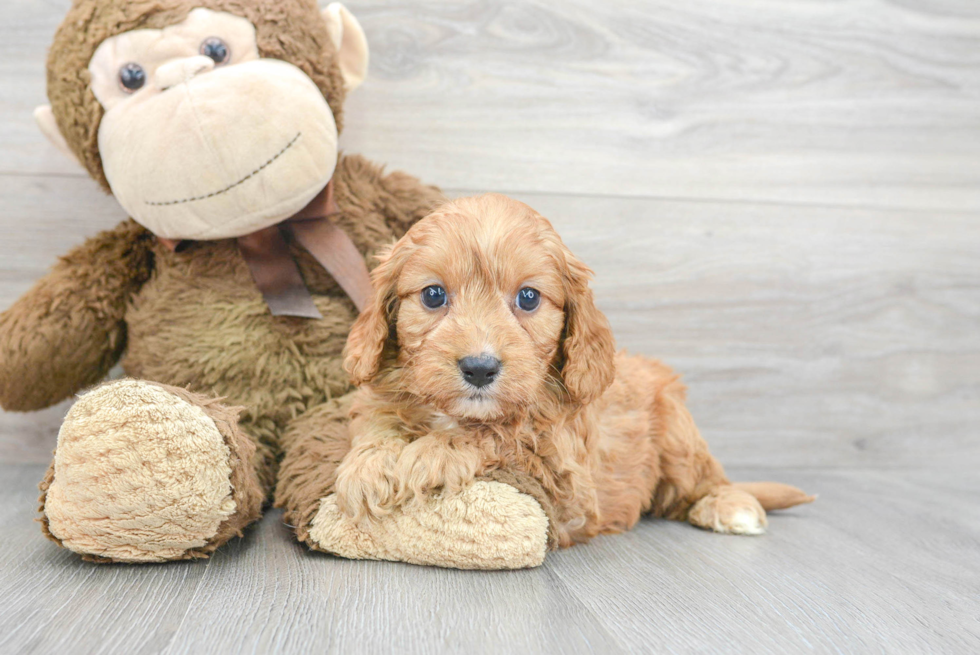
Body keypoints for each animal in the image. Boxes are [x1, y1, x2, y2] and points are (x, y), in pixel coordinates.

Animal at [336, 195, 812, 548]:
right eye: (433, 295)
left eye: (528, 298)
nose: (479, 368)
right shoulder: (379, 399)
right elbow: (377, 422)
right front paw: (368, 467)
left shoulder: (566, 483)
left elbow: (496, 434)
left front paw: (427, 456)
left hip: (679, 439)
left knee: (706, 483)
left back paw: (733, 507)